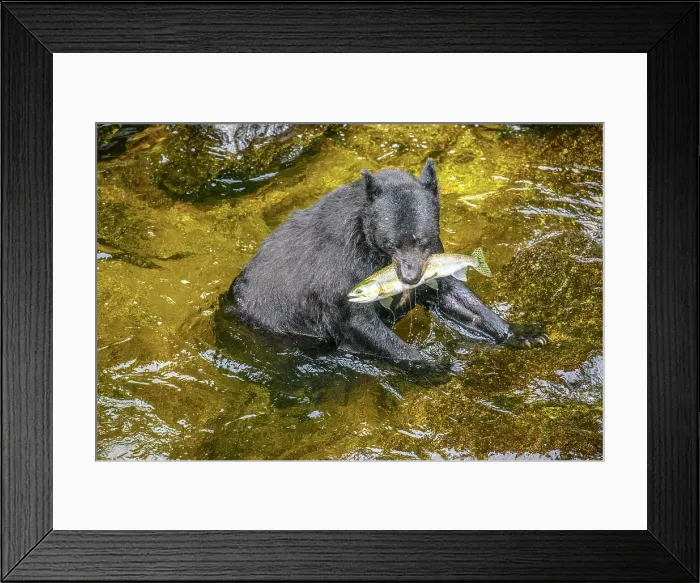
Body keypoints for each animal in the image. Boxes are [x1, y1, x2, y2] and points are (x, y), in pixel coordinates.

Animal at [218, 158, 547, 369]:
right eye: (392, 244)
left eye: (423, 240)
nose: (410, 277)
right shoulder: (341, 274)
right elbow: (358, 323)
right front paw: (432, 365)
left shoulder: (433, 260)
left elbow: (453, 295)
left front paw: (525, 333)